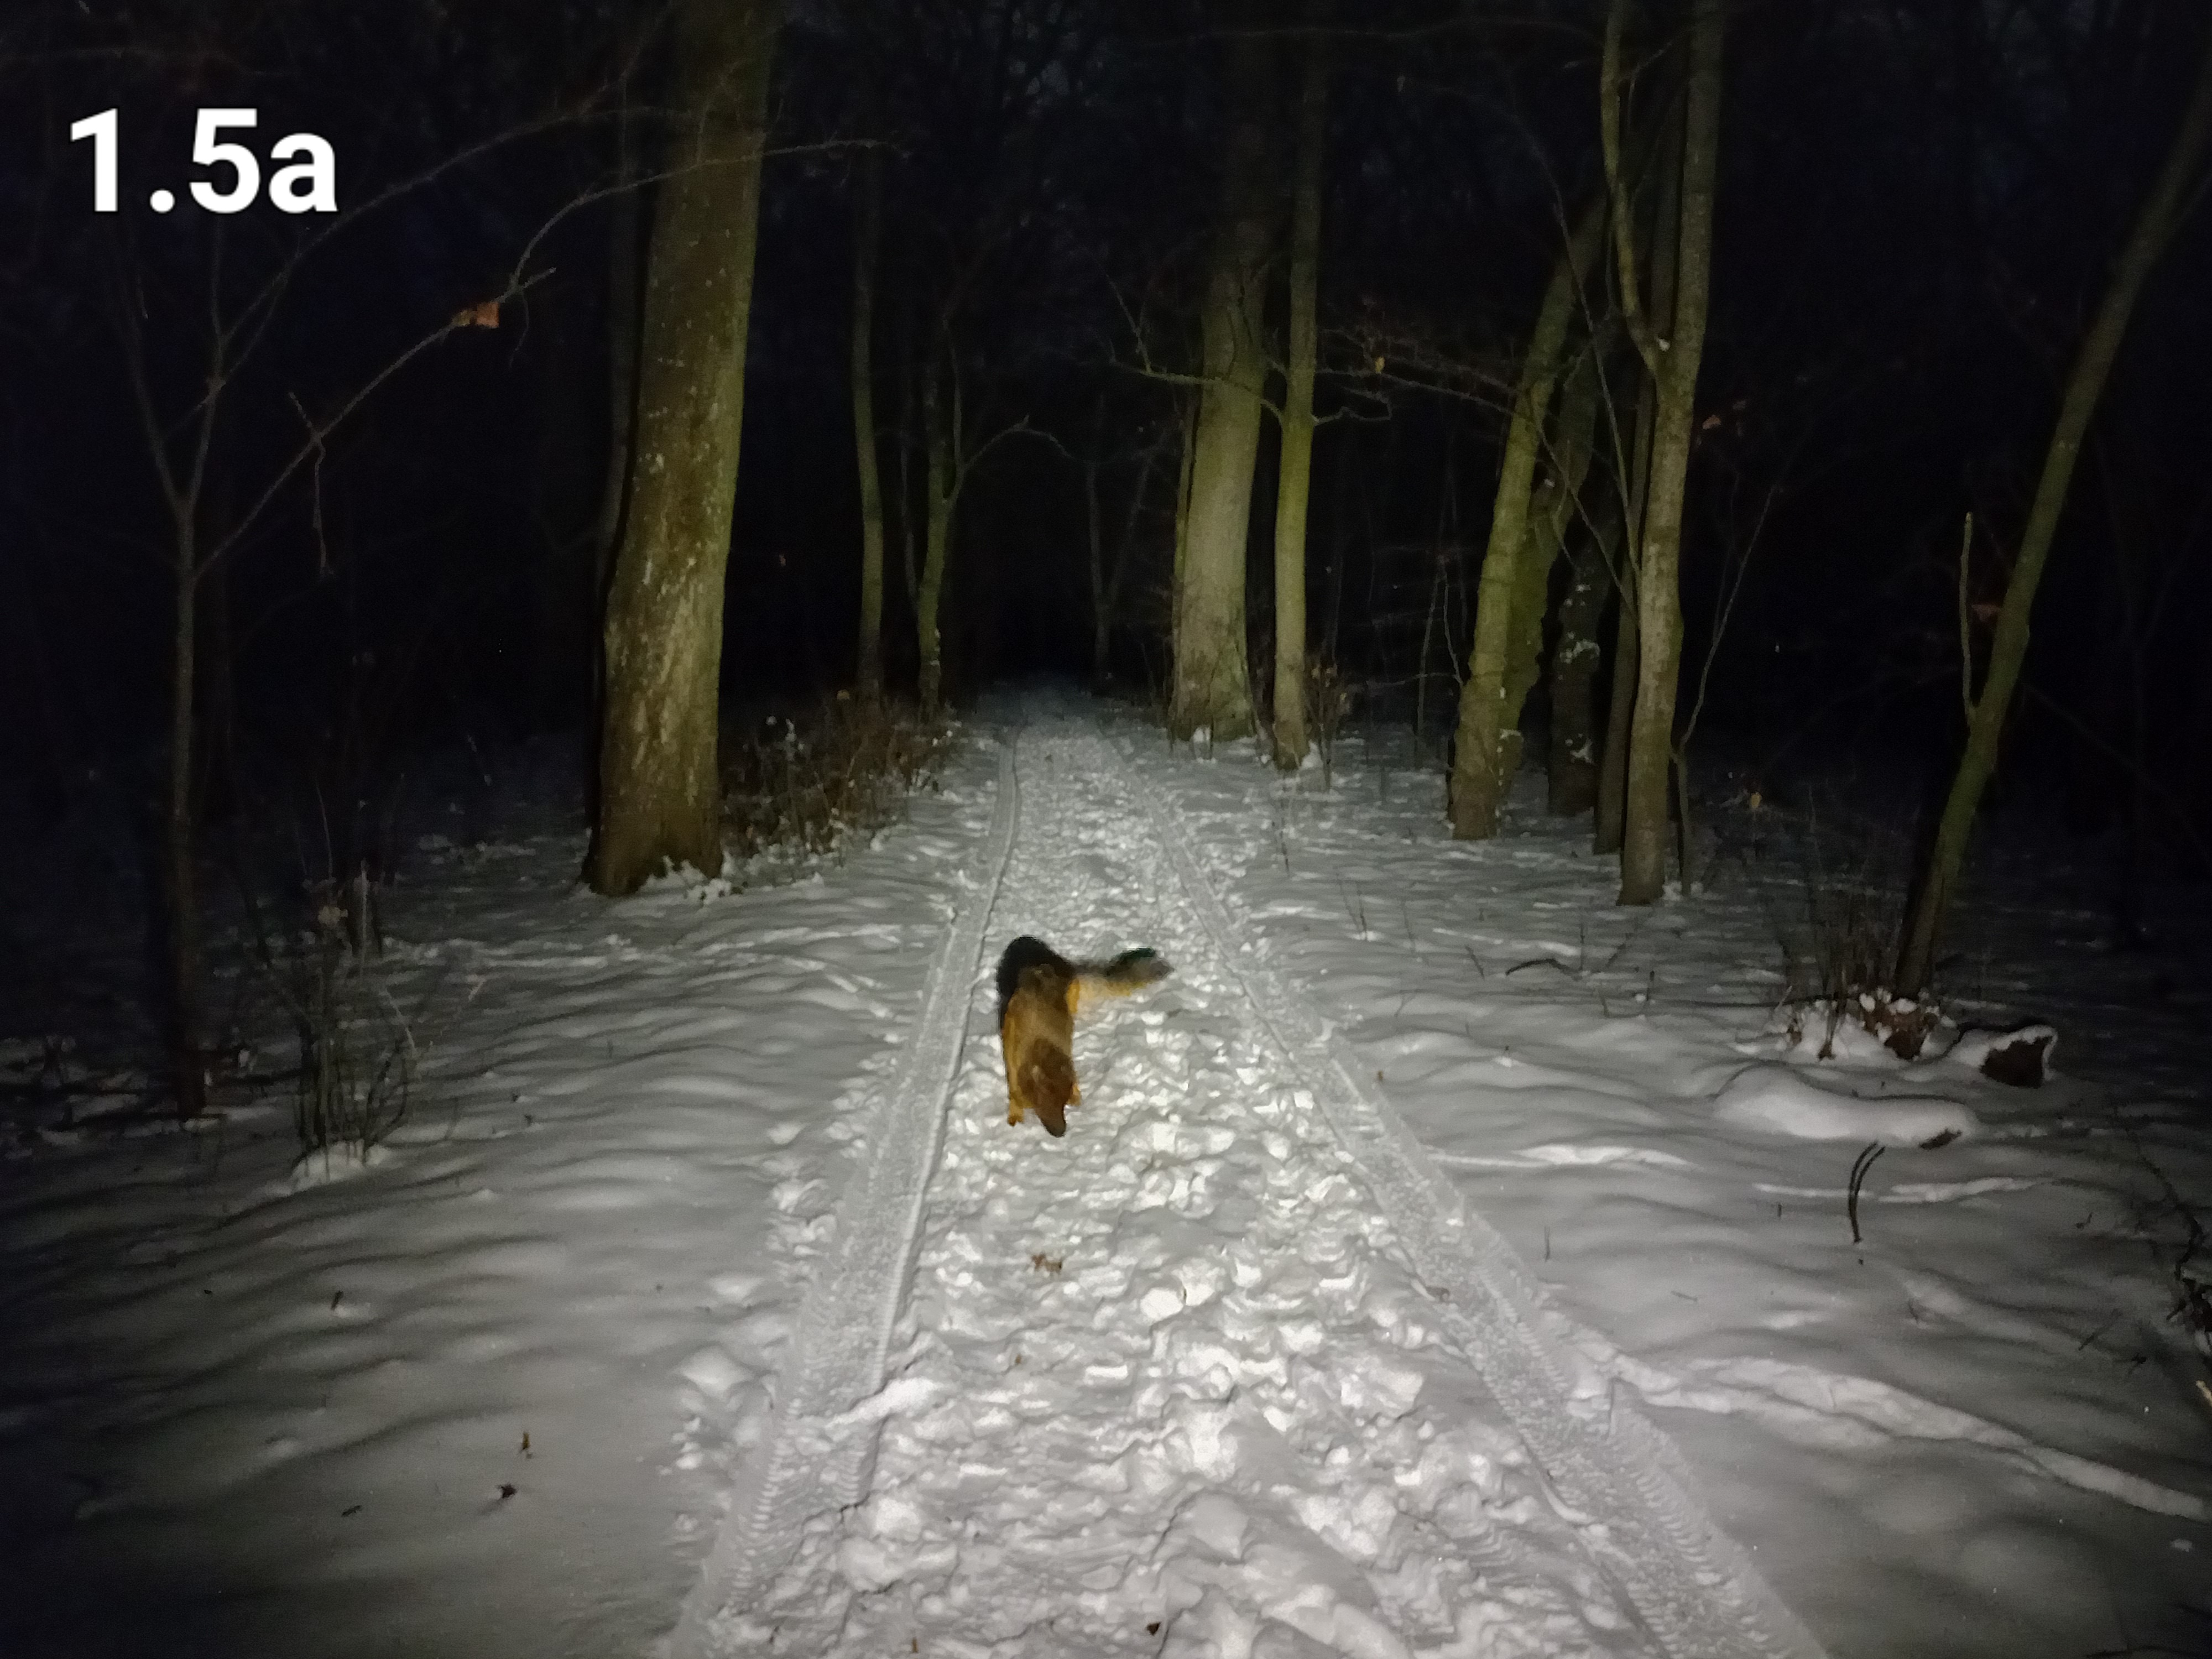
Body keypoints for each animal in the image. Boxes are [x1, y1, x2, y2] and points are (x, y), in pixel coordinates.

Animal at [994, 935, 1172, 1137]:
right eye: (1045, 1105)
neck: (1041, 1046)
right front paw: (1016, 1112)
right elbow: (1014, 1087)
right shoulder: (1012, 1054)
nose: (1061, 1133)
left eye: (1062, 1105)